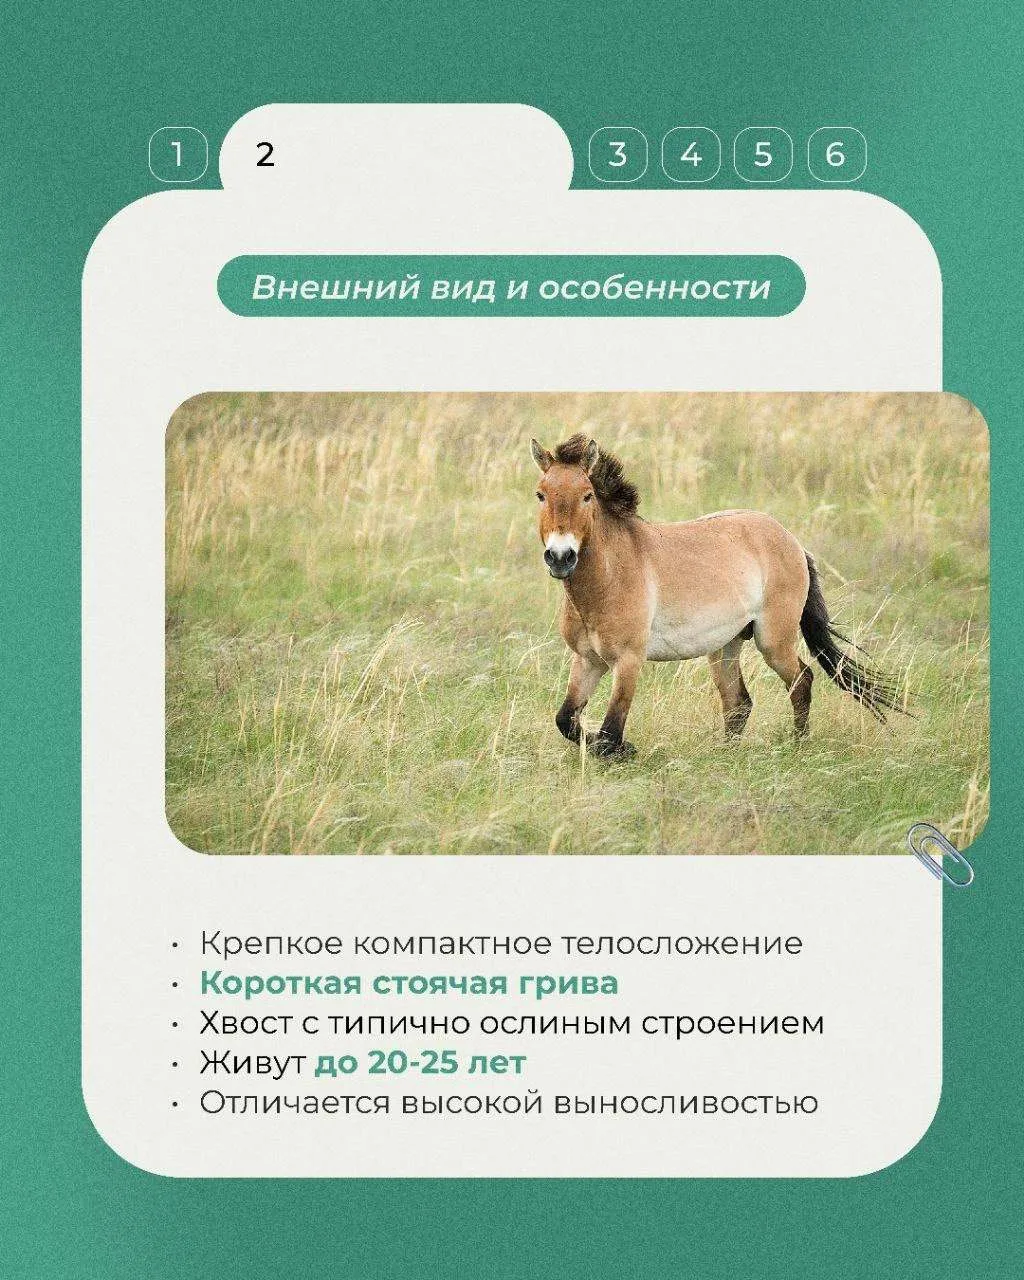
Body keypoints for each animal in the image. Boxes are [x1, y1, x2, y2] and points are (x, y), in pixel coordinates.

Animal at [530, 433, 904, 759]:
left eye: (587, 495)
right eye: (540, 494)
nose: (561, 557)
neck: (609, 578)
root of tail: (793, 541)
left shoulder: (628, 661)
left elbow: (610, 732)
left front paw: (625, 751)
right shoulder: (587, 660)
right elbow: (566, 721)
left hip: (773, 641)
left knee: (801, 681)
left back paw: (798, 746)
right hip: (725, 645)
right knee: (738, 702)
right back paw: (726, 755)